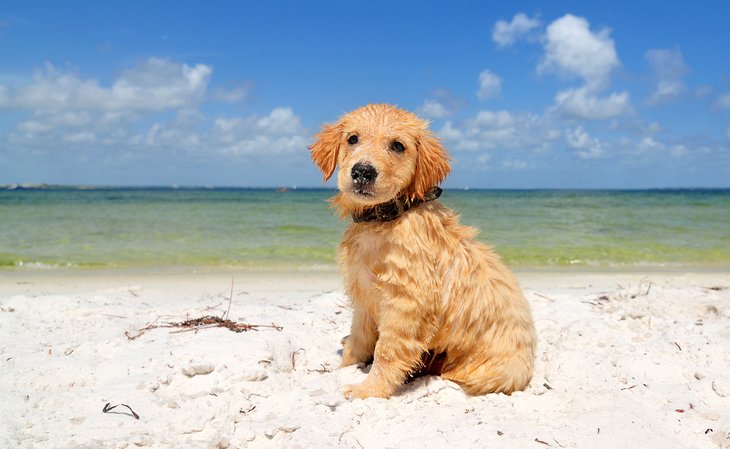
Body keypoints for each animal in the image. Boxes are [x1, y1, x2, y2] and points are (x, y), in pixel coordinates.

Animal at [308, 103, 536, 398]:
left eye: (398, 145)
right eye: (353, 139)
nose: (362, 172)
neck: (385, 219)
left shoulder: (407, 301)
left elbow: (387, 350)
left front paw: (370, 389)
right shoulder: (364, 296)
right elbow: (359, 337)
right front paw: (345, 365)